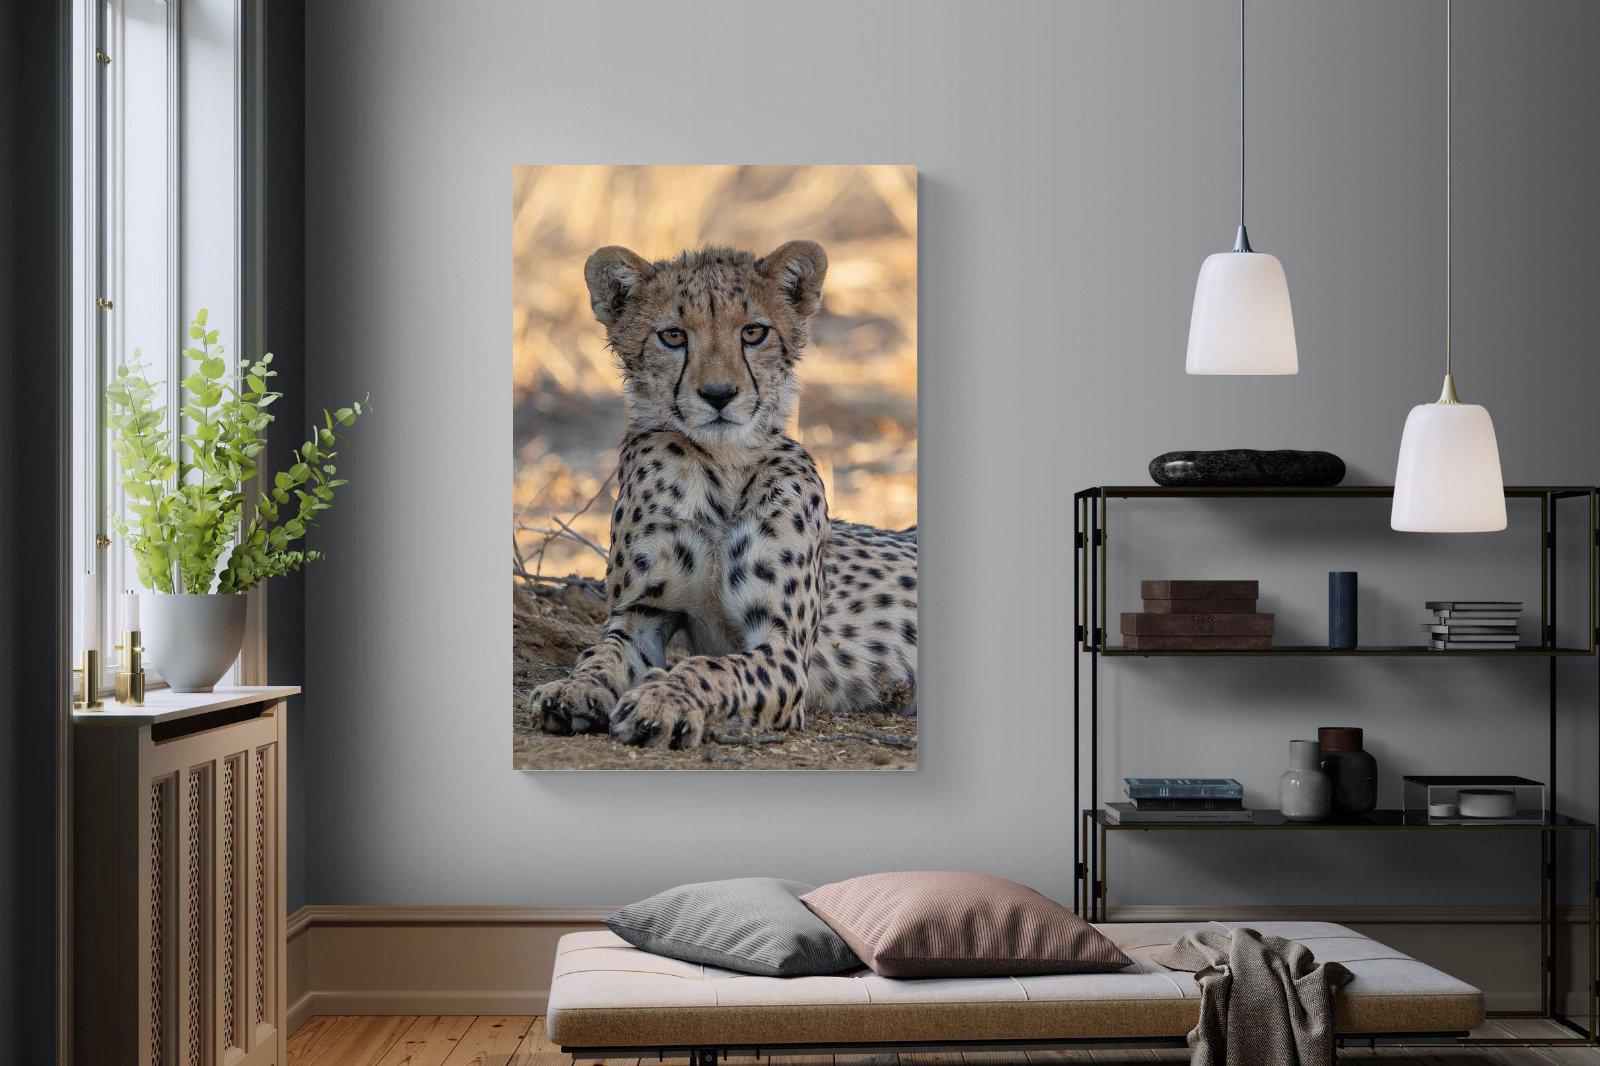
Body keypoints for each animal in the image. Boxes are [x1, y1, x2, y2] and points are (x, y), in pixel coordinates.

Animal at [527, 239, 918, 749]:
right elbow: (601, 654)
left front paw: (662, 701)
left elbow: (711, 668)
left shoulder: (783, 649)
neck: (722, 468)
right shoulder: (642, 614)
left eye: (753, 332)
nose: (718, 394)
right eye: (673, 336)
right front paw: (572, 689)